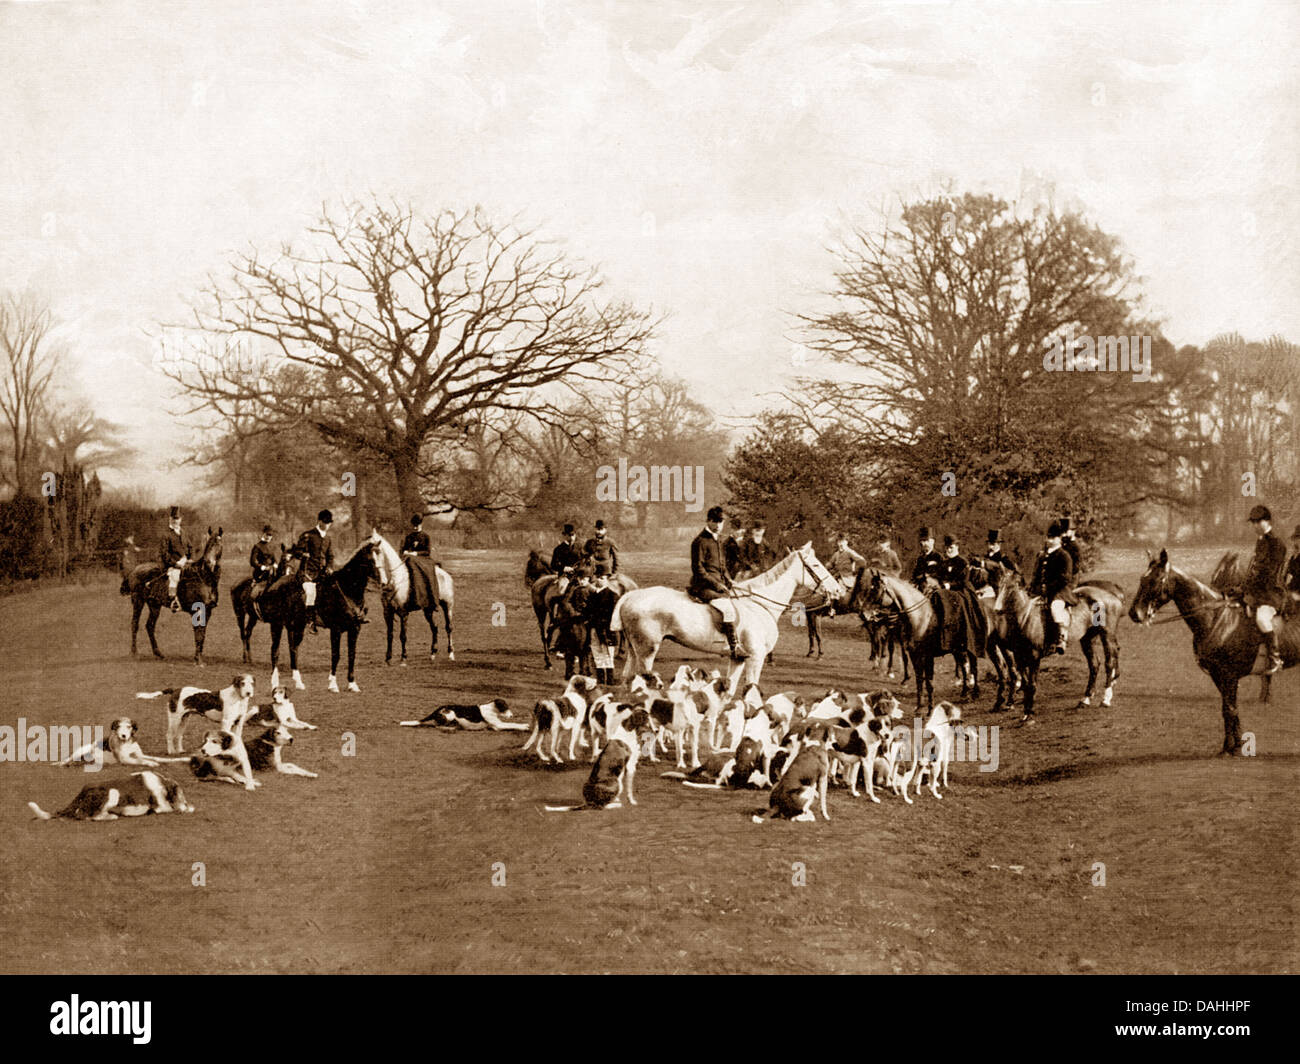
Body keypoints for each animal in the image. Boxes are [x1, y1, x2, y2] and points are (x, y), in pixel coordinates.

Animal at [123, 525, 223, 663]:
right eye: (208, 544)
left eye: (218, 544)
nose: (209, 563)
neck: (204, 578)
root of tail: (135, 569)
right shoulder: (196, 610)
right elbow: (198, 632)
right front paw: (198, 659)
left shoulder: (208, 611)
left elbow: (203, 633)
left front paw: (199, 656)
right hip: (138, 601)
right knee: (135, 624)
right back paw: (134, 653)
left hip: (154, 605)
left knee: (150, 626)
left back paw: (158, 653)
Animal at [236, 530, 384, 697]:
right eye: (371, 560)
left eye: (381, 556)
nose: (382, 581)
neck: (348, 591)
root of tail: (275, 583)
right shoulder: (336, 629)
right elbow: (336, 655)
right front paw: (333, 685)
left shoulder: (355, 629)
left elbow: (351, 655)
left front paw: (352, 684)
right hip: (276, 624)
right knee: (275, 650)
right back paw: (275, 682)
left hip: (296, 625)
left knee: (293, 649)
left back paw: (298, 682)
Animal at [611, 538, 837, 697]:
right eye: (816, 565)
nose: (837, 590)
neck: (759, 604)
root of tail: (630, 594)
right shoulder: (756, 657)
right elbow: (750, 691)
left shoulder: (738, 658)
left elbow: (730, 690)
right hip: (647, 650)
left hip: (634, 650)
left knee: (627, 679)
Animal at [993, 564, 1128, 723]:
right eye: (999, 585)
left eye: (1011, 587)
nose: (996, 609)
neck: (1025, 619)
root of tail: (1112, 595)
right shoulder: (1019, 657)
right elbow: (1025, 684)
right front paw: (1025, 712)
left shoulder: (1034, 656)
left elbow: (1032, 684)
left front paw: (1029, 714)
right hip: (1087, 638)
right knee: (1094, 664)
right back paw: (1086, 699)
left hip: (1107, 634)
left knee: (1109, 661)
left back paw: (1106, 698)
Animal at [1133, 546, 1294, 754]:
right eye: (1142, 579)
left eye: (1155, 580)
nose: (1134, 613)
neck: (1217, 619)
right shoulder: (1218, 675)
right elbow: (1228, 709)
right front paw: (1232, 746)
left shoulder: (1229, 675)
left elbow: (1230, 709)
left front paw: (1235, 747)